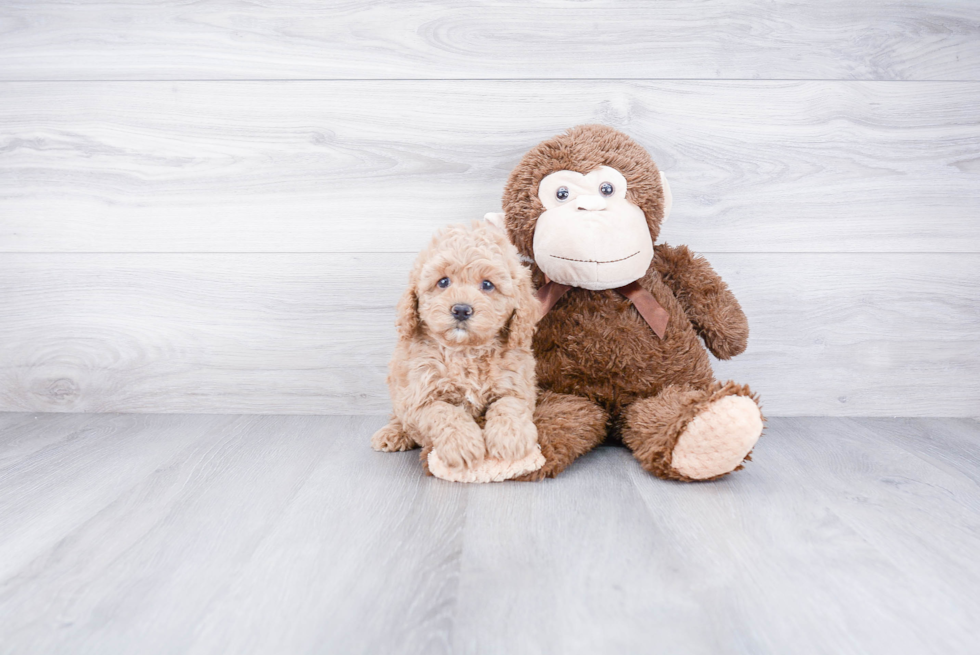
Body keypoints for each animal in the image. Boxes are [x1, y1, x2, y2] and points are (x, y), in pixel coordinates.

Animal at [370, 223, 540, 480]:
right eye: (443, 282)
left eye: (487, 285)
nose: (461, 309)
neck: (465, 351)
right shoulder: (419, 397)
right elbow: (444, 411)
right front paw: (463, 445)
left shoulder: (518, 386)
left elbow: (509, 405)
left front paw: (511, 438)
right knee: (399, 416)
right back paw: (392, 433)